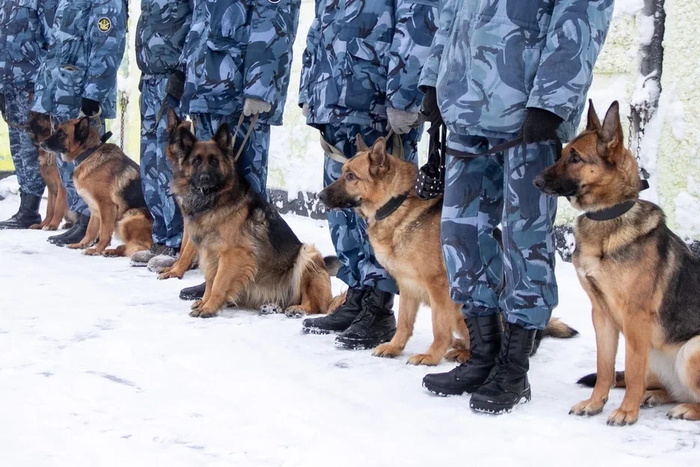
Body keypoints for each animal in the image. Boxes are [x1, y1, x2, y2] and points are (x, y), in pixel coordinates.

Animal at [42, 116, 153, 256]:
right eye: (56, 130)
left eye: (61, 134)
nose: (41, 144)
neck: (88, 154)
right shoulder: (94, 209)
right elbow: (90, 230)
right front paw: (82, 244)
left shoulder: (106, 205)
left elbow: (104, 232)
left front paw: (97, 250)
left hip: (130, 217)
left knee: (139, 247)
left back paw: (112, 251)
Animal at [169, 111, 334, 320]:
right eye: (196, 161)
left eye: (214, 161)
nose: (205, 179)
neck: (215, 201)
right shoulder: (210, 253)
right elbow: (210, 281)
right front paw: (205, 302)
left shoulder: (233, 254)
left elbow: (219, 284)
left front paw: (209, 307)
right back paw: (272, 307)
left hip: (308, 253)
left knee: (316, 305)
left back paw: (299, 309)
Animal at [318, 135, 576, 366]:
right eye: (343, 173)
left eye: (351, 176)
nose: (319, 196)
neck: (397, 203)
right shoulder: (407, 285)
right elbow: (404, 322)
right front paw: (394, 347)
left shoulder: (439, 287)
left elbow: (439, 327)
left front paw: (431, 356)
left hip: (463, 307)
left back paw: (464, 353)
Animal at [536, 101, 700, 424]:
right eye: (562, 153)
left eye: (575, 157)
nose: (535, 180)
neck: (607, 216)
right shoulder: (601, 314)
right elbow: (605, 368)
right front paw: (594, 403)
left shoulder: (636, 319)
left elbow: (633, 371)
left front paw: (626, 411)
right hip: (658, 356)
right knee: (669, 389)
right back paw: (655, 396)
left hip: (690, 349)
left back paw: (684, 408)